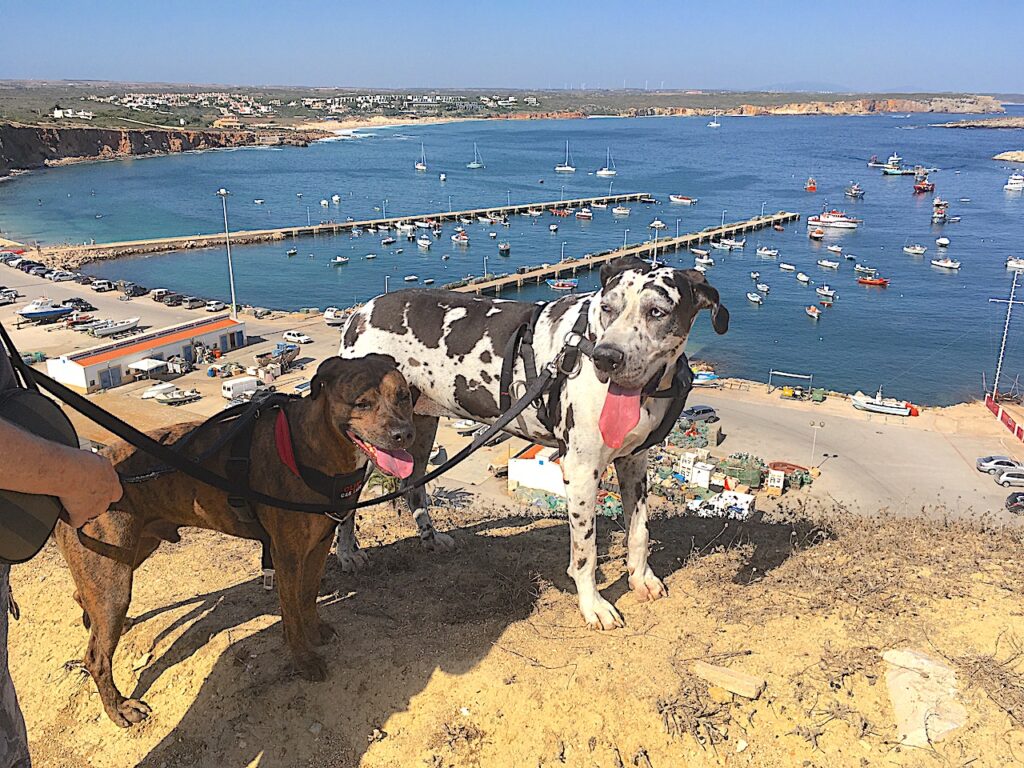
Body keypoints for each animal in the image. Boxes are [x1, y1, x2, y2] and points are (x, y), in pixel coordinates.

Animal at [55, 354, 415, 729]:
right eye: (362, 403)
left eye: (403, 396)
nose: (403, 434)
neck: (312, 445)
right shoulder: (287, 556)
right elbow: (291, 613)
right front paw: (303, 659)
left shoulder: (319, 544)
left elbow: (308, 596)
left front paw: (315, 629)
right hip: (114, 581)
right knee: (96, 657)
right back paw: (119, 708)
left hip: (128, 554)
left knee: (83, 597)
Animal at [335, 259, 729, 630]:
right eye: (607, 307)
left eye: (656, 312)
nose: (606, 357)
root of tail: (359, 312)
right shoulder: (581, 470)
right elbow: (585, 551)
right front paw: (593, 605)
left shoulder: (634, 462)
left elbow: (639, 531)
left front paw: (641, 578)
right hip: (366, 443)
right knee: (348, 503)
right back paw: (346, 554)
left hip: (419, 428)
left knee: (413, 486)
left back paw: (430, 538)